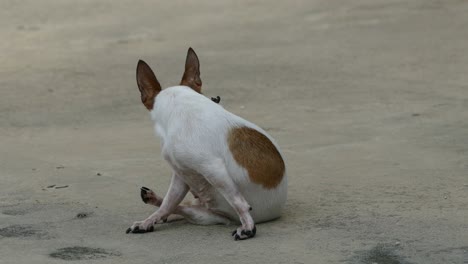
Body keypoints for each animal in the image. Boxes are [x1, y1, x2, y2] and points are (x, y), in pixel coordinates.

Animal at [127, 47, 288, 239]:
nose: (216, 98)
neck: (180, 108)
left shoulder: (213, 168)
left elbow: (238, 201)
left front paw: (248, 227)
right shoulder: (181, 175)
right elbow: (169, 202)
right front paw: (150, 220)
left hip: (207, 212)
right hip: (203, 214)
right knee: (179, 207)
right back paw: (156, 204)